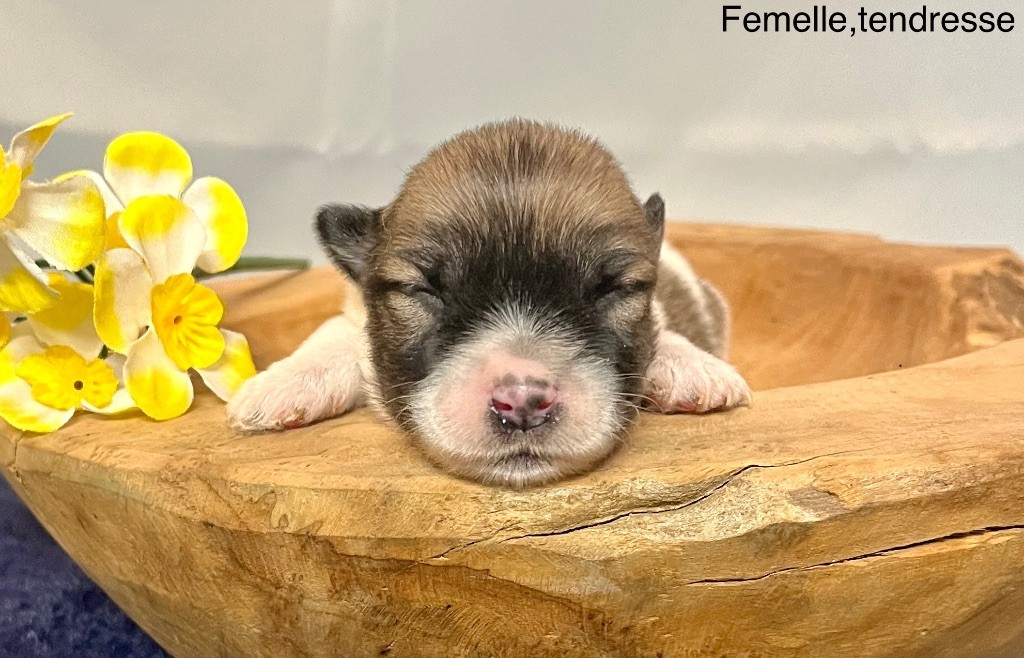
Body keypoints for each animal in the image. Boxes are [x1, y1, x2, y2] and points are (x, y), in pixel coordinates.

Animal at [228, 119, 749, 489]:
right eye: (426, 290)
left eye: (611, 290)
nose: (522, 403)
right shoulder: (356, 310)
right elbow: (332, 331)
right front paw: (278, 386)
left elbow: (665, 330)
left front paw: (693, 368)